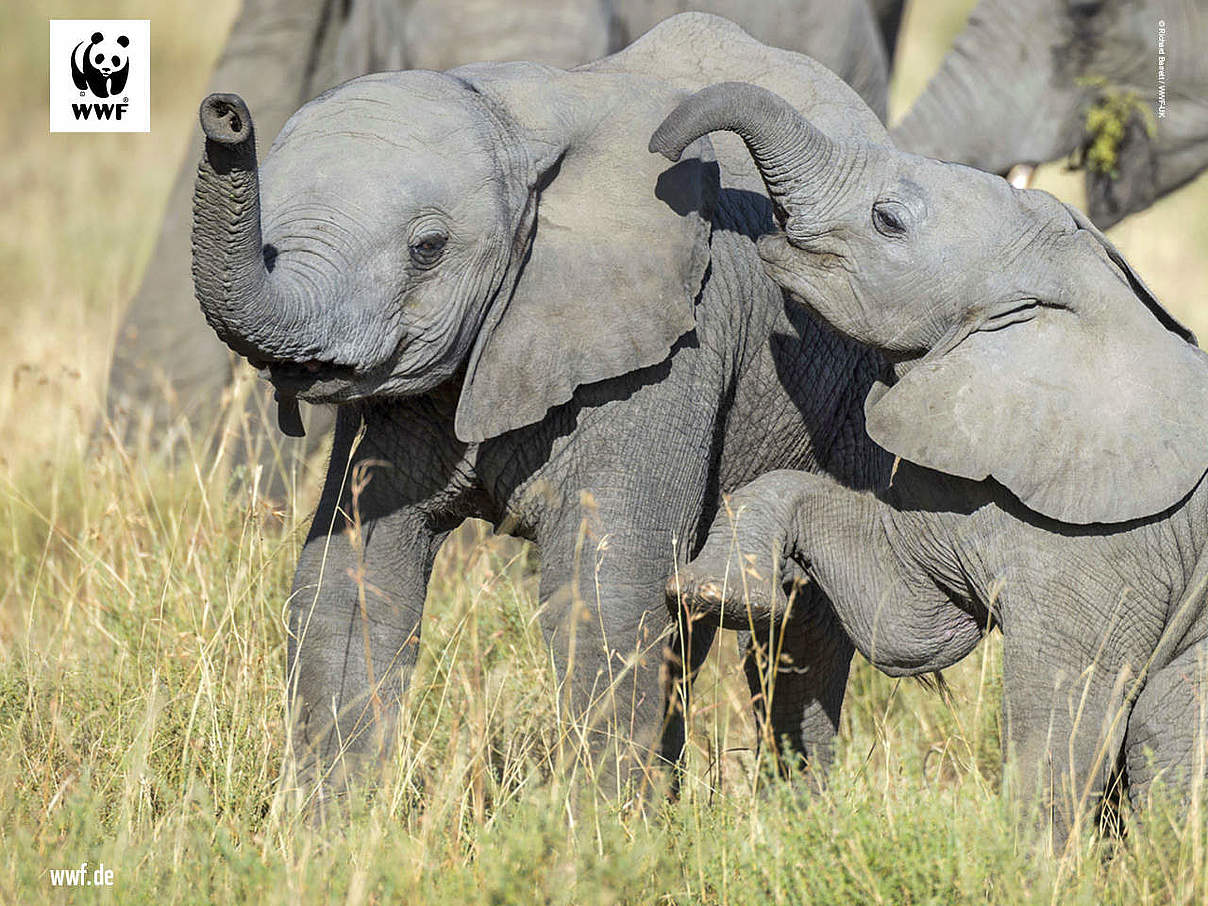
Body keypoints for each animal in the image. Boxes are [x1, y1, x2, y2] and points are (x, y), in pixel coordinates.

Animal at [188, 14, 898, 806]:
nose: (225, 112)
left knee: (802, 623)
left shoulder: (668, 348)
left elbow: (604, 585)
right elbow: (351, 576)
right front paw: (328, 826)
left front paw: (592, 829)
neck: (510, 121)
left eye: (428, 248)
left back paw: (793, 812)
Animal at [657, 81, 1208, 850]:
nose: (663, 148)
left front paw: (1024, 864)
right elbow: (910, 624)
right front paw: (718, 595)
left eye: (888, 220)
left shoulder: (1118, 547)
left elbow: (1064, 707)